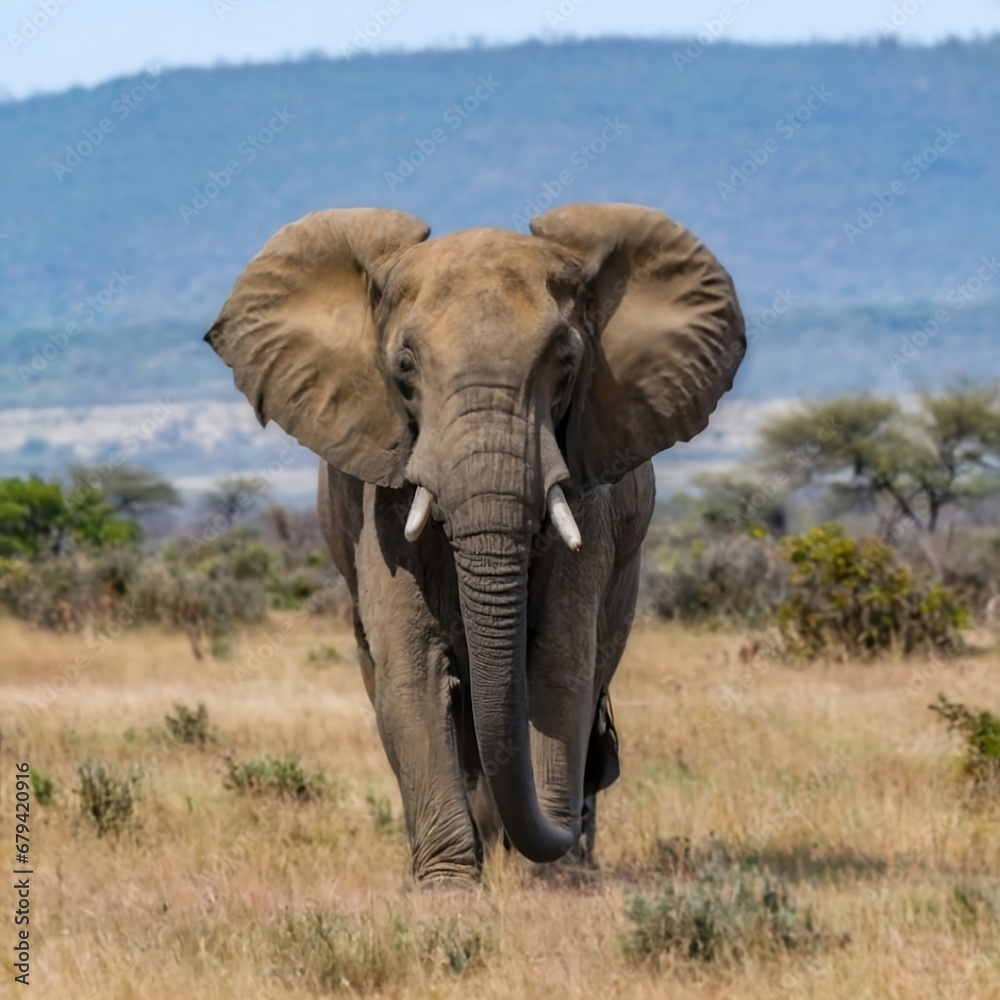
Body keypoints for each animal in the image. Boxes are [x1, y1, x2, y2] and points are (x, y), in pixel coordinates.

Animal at [205, 202, 745, 885]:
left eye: (566, 363)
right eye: (404, 368)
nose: (570, 824)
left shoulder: (586, 494)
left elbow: (560, 667)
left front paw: (553, 885)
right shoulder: (379, 502)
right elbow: (413, 670)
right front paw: (449, 890)